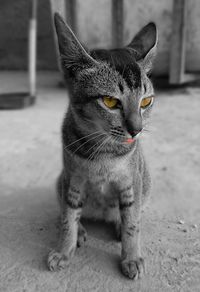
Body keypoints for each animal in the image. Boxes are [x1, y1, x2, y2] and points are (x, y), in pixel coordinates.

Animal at [47, 12, 158, 280]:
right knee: (66, 211)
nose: (137, 129)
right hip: (60, 182)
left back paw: (116, 224)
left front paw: (132, 257)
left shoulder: (131, 181)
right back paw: (81, 231)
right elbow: (68, 219)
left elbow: (132, 224)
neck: (104, 154)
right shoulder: (73, 180)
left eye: (146, 102)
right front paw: (63, 250)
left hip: (146, 183)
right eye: (109, 101)